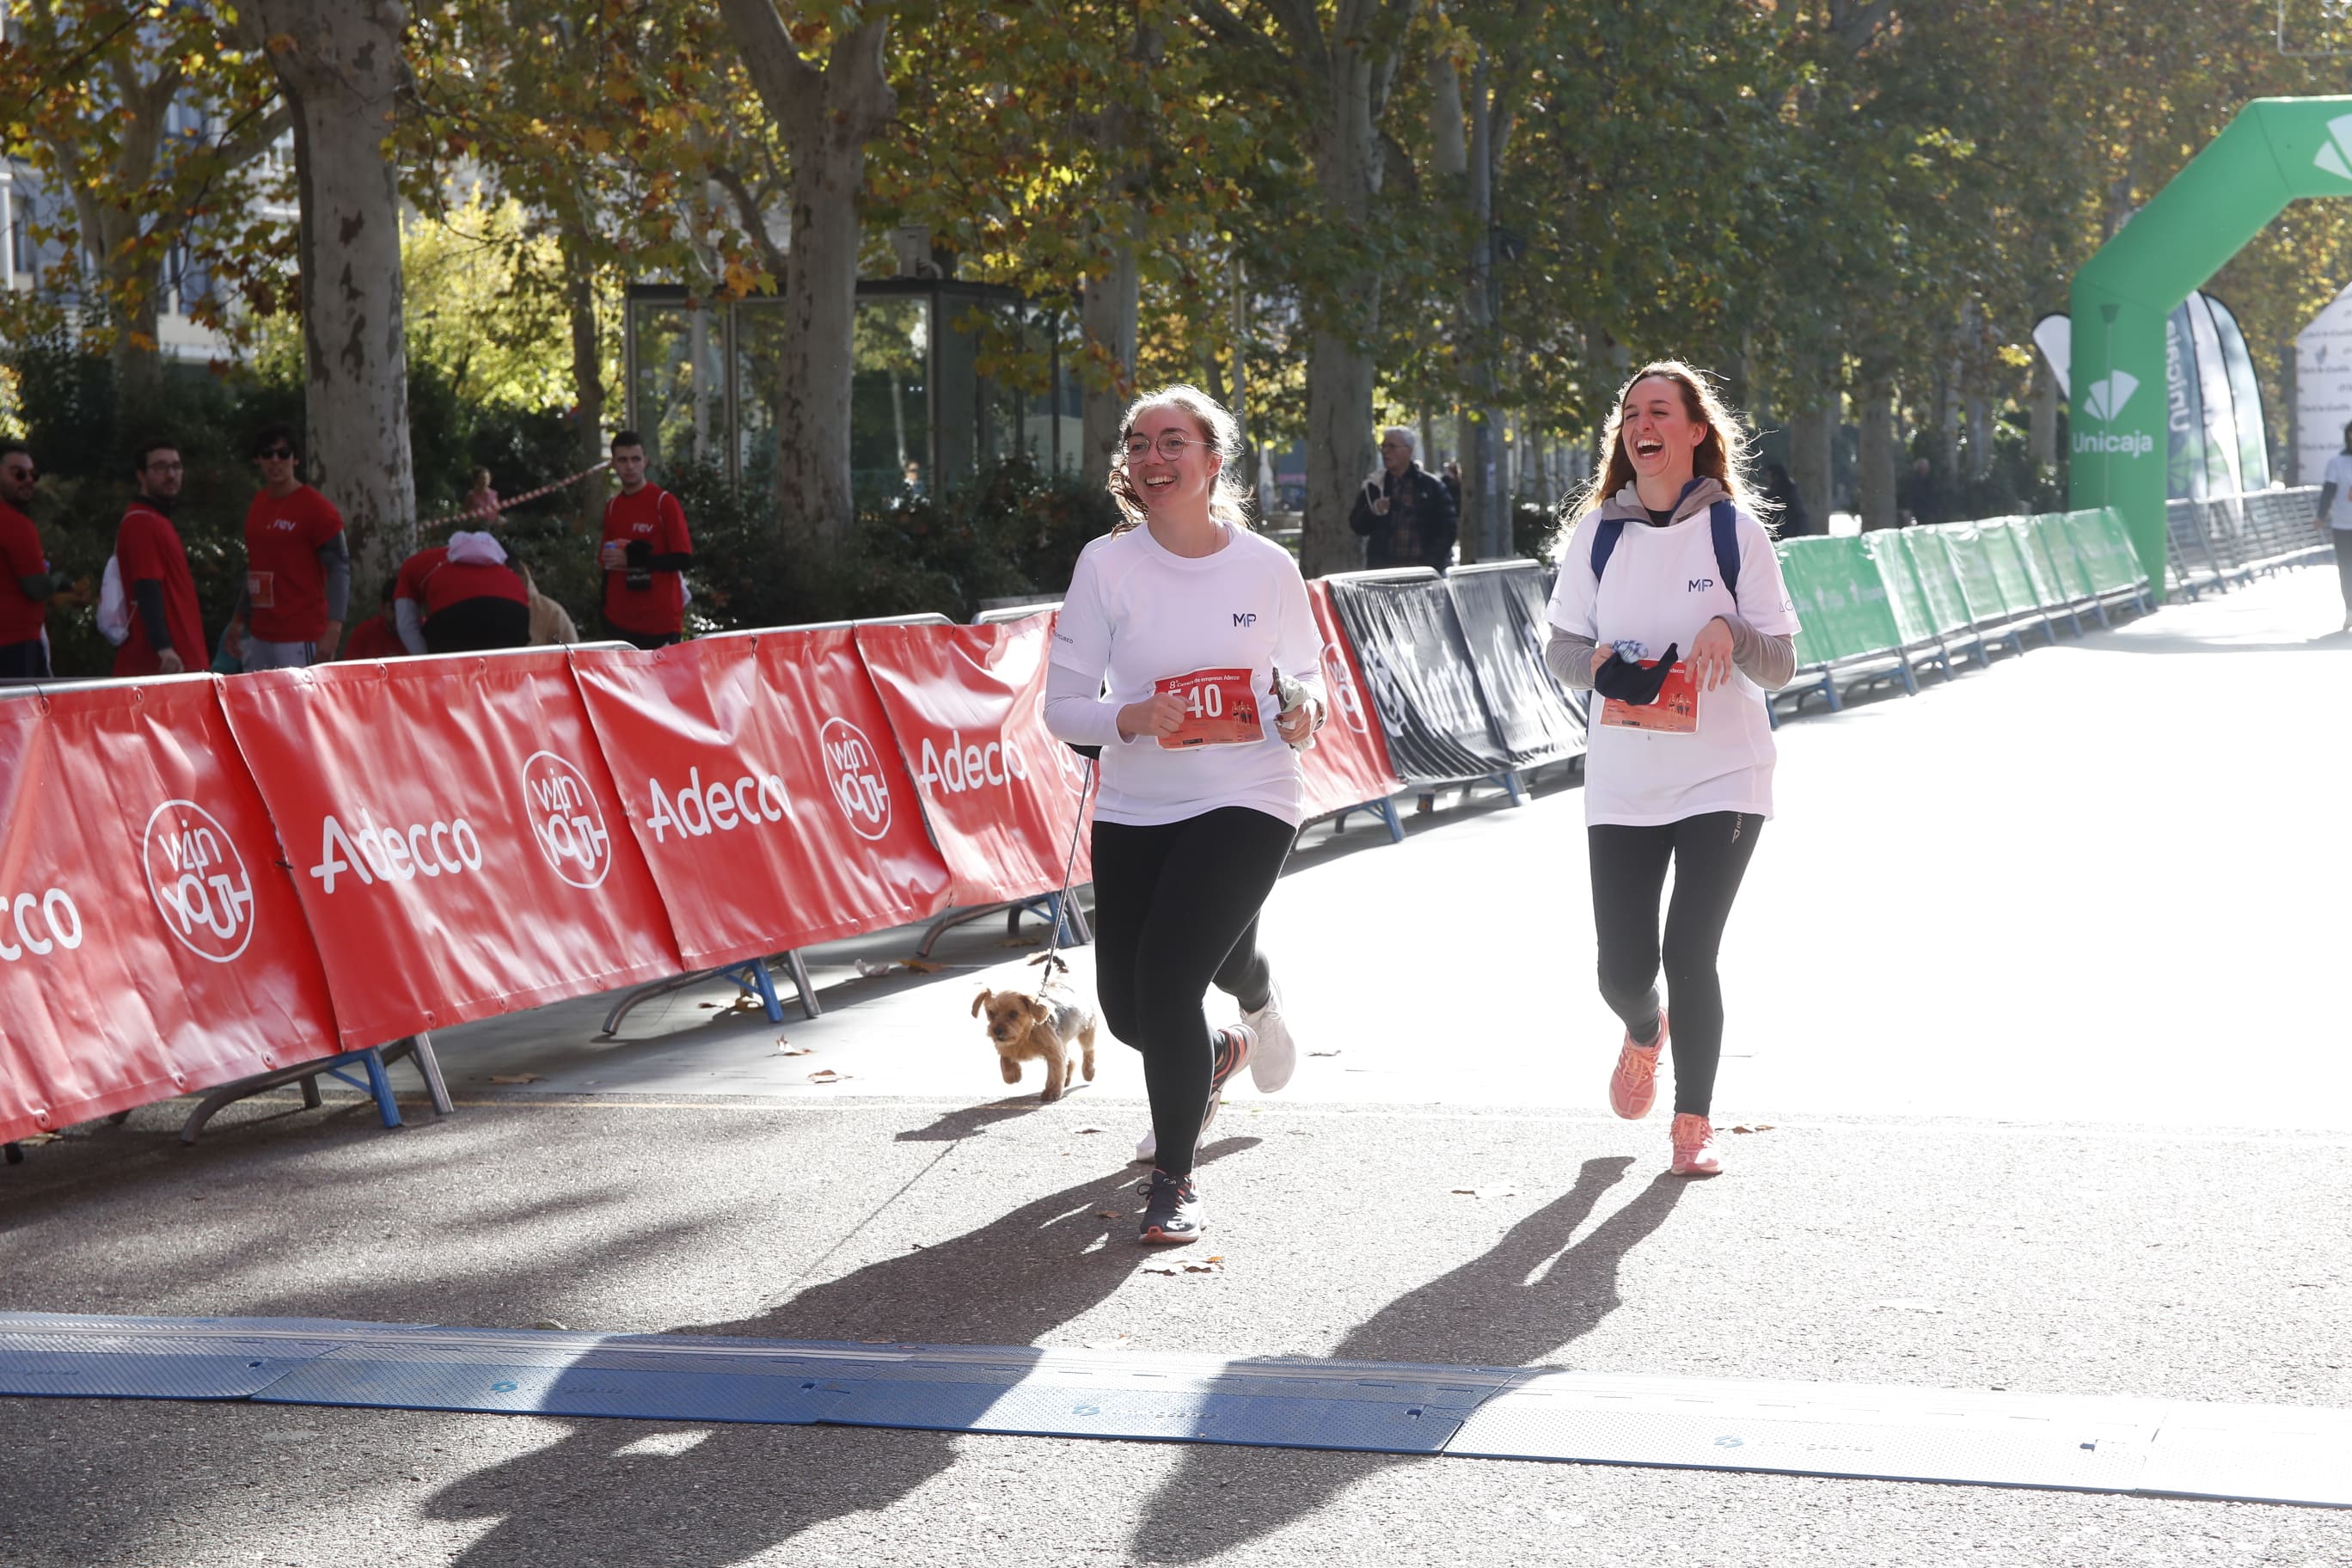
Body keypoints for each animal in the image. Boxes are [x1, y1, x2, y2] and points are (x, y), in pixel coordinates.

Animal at [969, 983, 1095, 1105]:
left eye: (1013, 1014)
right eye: (991, 1013)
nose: (997, 1031)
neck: (1025, 1035)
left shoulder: (1053, 1051)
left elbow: (1055, 1072)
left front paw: (1051, 1093)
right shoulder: (1005, 1046)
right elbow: (1004, 1061)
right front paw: (1013, 1075)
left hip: (1087, 1031)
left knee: (1088, 1051)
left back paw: (1088, 1072)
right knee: (1069, 1059)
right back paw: (1067, 1078)